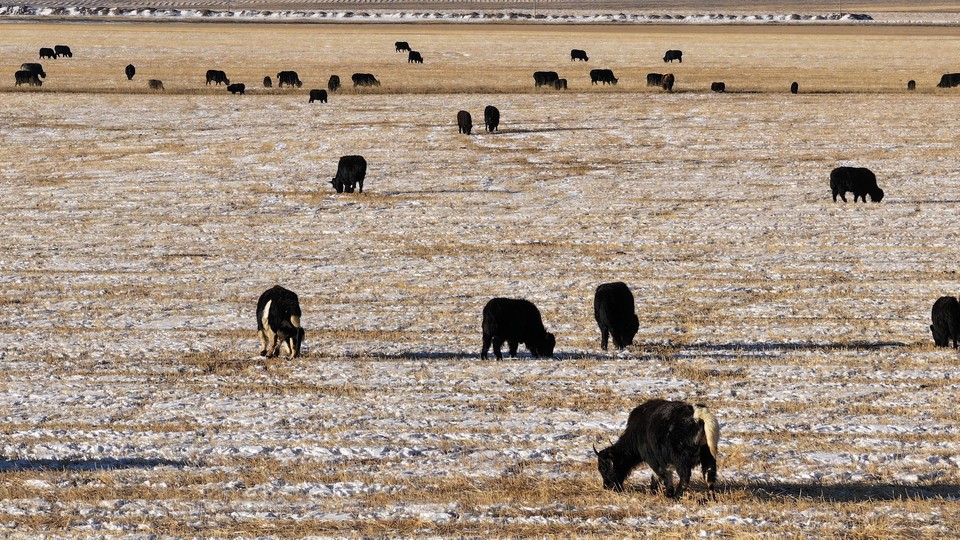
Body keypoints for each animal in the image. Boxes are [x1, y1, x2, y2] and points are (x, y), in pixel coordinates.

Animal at [592, 396, 720, 498]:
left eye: (604, 467)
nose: (607, 487)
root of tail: (697, 414)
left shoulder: (654, 460)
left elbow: (663, 476)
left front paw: (667, 493)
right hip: (708, 454)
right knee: (709, 475)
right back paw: (710, 498)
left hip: (681, 459)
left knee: (685, 477)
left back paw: (676, 497)